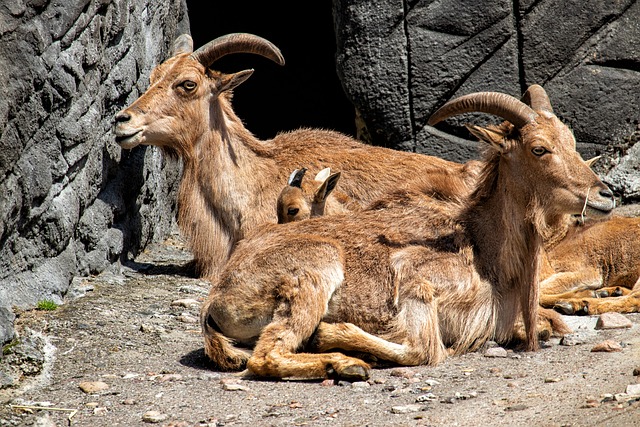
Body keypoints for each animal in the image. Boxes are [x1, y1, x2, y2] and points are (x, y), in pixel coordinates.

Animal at [200, 85, 616, 380]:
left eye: (571, 142)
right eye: (539, 148)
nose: (605, 194)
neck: (483, 247)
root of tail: (215, 298)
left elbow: (550, 324)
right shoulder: (418, 287)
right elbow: (423, 350)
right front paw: (333, 335)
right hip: (317, 270)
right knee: (265, 356)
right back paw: (343, 362)